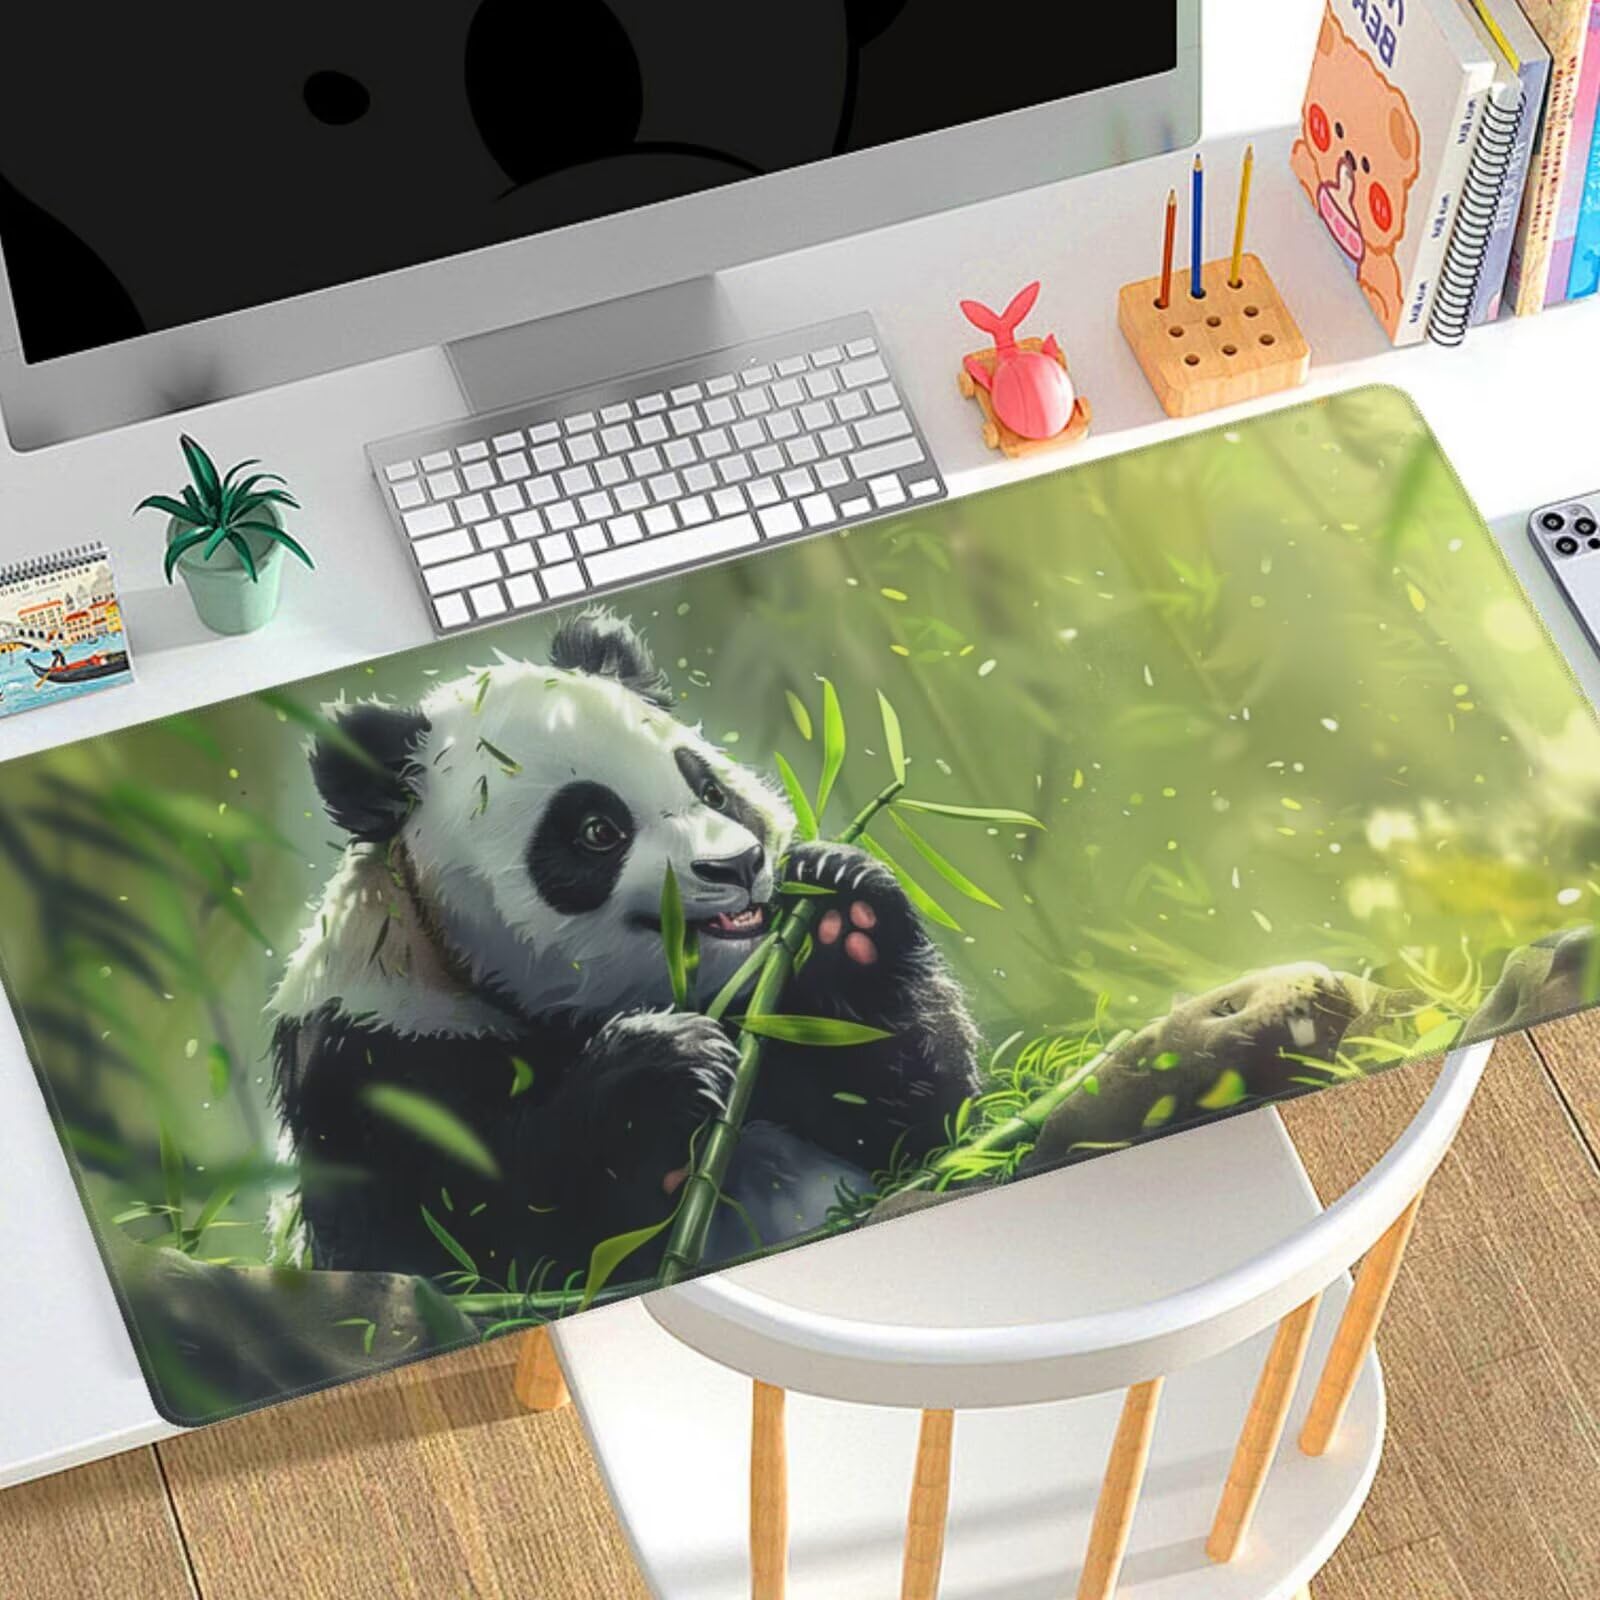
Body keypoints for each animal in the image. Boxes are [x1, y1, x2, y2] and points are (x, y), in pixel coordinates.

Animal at [269, 609, 981, 1285]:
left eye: (711, 791)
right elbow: (473, 1238)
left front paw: (844, 914)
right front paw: (662, 1067)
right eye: (597, 830)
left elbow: (919, 1123)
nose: (738, 865)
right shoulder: (375, 1053)